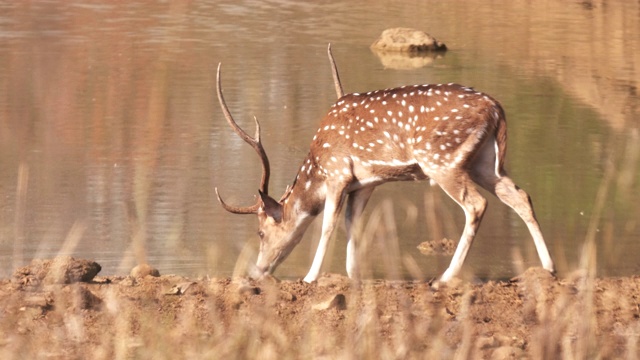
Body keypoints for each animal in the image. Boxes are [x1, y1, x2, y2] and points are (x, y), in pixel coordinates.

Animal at [216, 45, 556, 282]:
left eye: (260, 232)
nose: (258, 271)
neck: (317, 165)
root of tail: (496, 109)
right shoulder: (365, 183)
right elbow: (353, 223)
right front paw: (354, 275)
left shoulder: (338, 173)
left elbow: (328, 225)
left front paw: (311, 277)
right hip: (485, 162)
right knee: (520, 195)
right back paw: (549, 268)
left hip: (442, 160)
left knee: (476, 204)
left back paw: (445, 277)